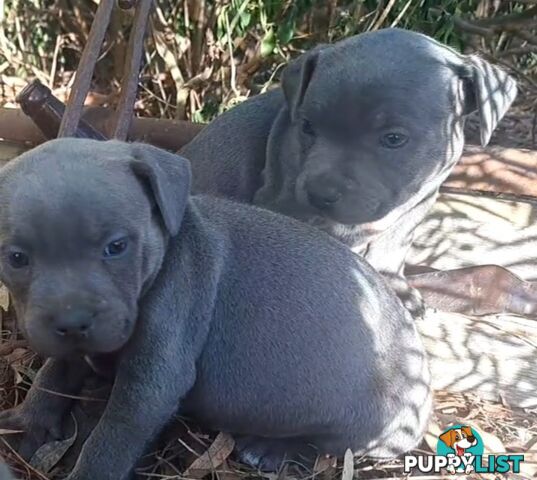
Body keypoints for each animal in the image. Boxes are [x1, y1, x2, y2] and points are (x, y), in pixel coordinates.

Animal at [0, 139, 430, 480]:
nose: (72, 322)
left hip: (373, 424)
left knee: (334, 446)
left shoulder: (152, 381)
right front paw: (26, 425)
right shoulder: (72, 346)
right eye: (16, 257)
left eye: (117, 246)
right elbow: (53, 375)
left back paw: (272, 449)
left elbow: (109, 441)